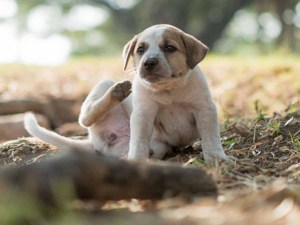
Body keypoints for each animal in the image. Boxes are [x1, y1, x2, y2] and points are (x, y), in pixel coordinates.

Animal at [24, 24, 229, 164]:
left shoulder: (205, 110)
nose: (148, 62)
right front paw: (137, 162)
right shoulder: (143, 114)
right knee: (85, 118)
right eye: (140, 50)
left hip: (160, 146)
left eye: (170, 48)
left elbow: (211, 138)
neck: (168, 90)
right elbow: (138, 143)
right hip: (104, 85)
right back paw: (117, 92)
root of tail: (94, 142)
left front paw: (217, 158)